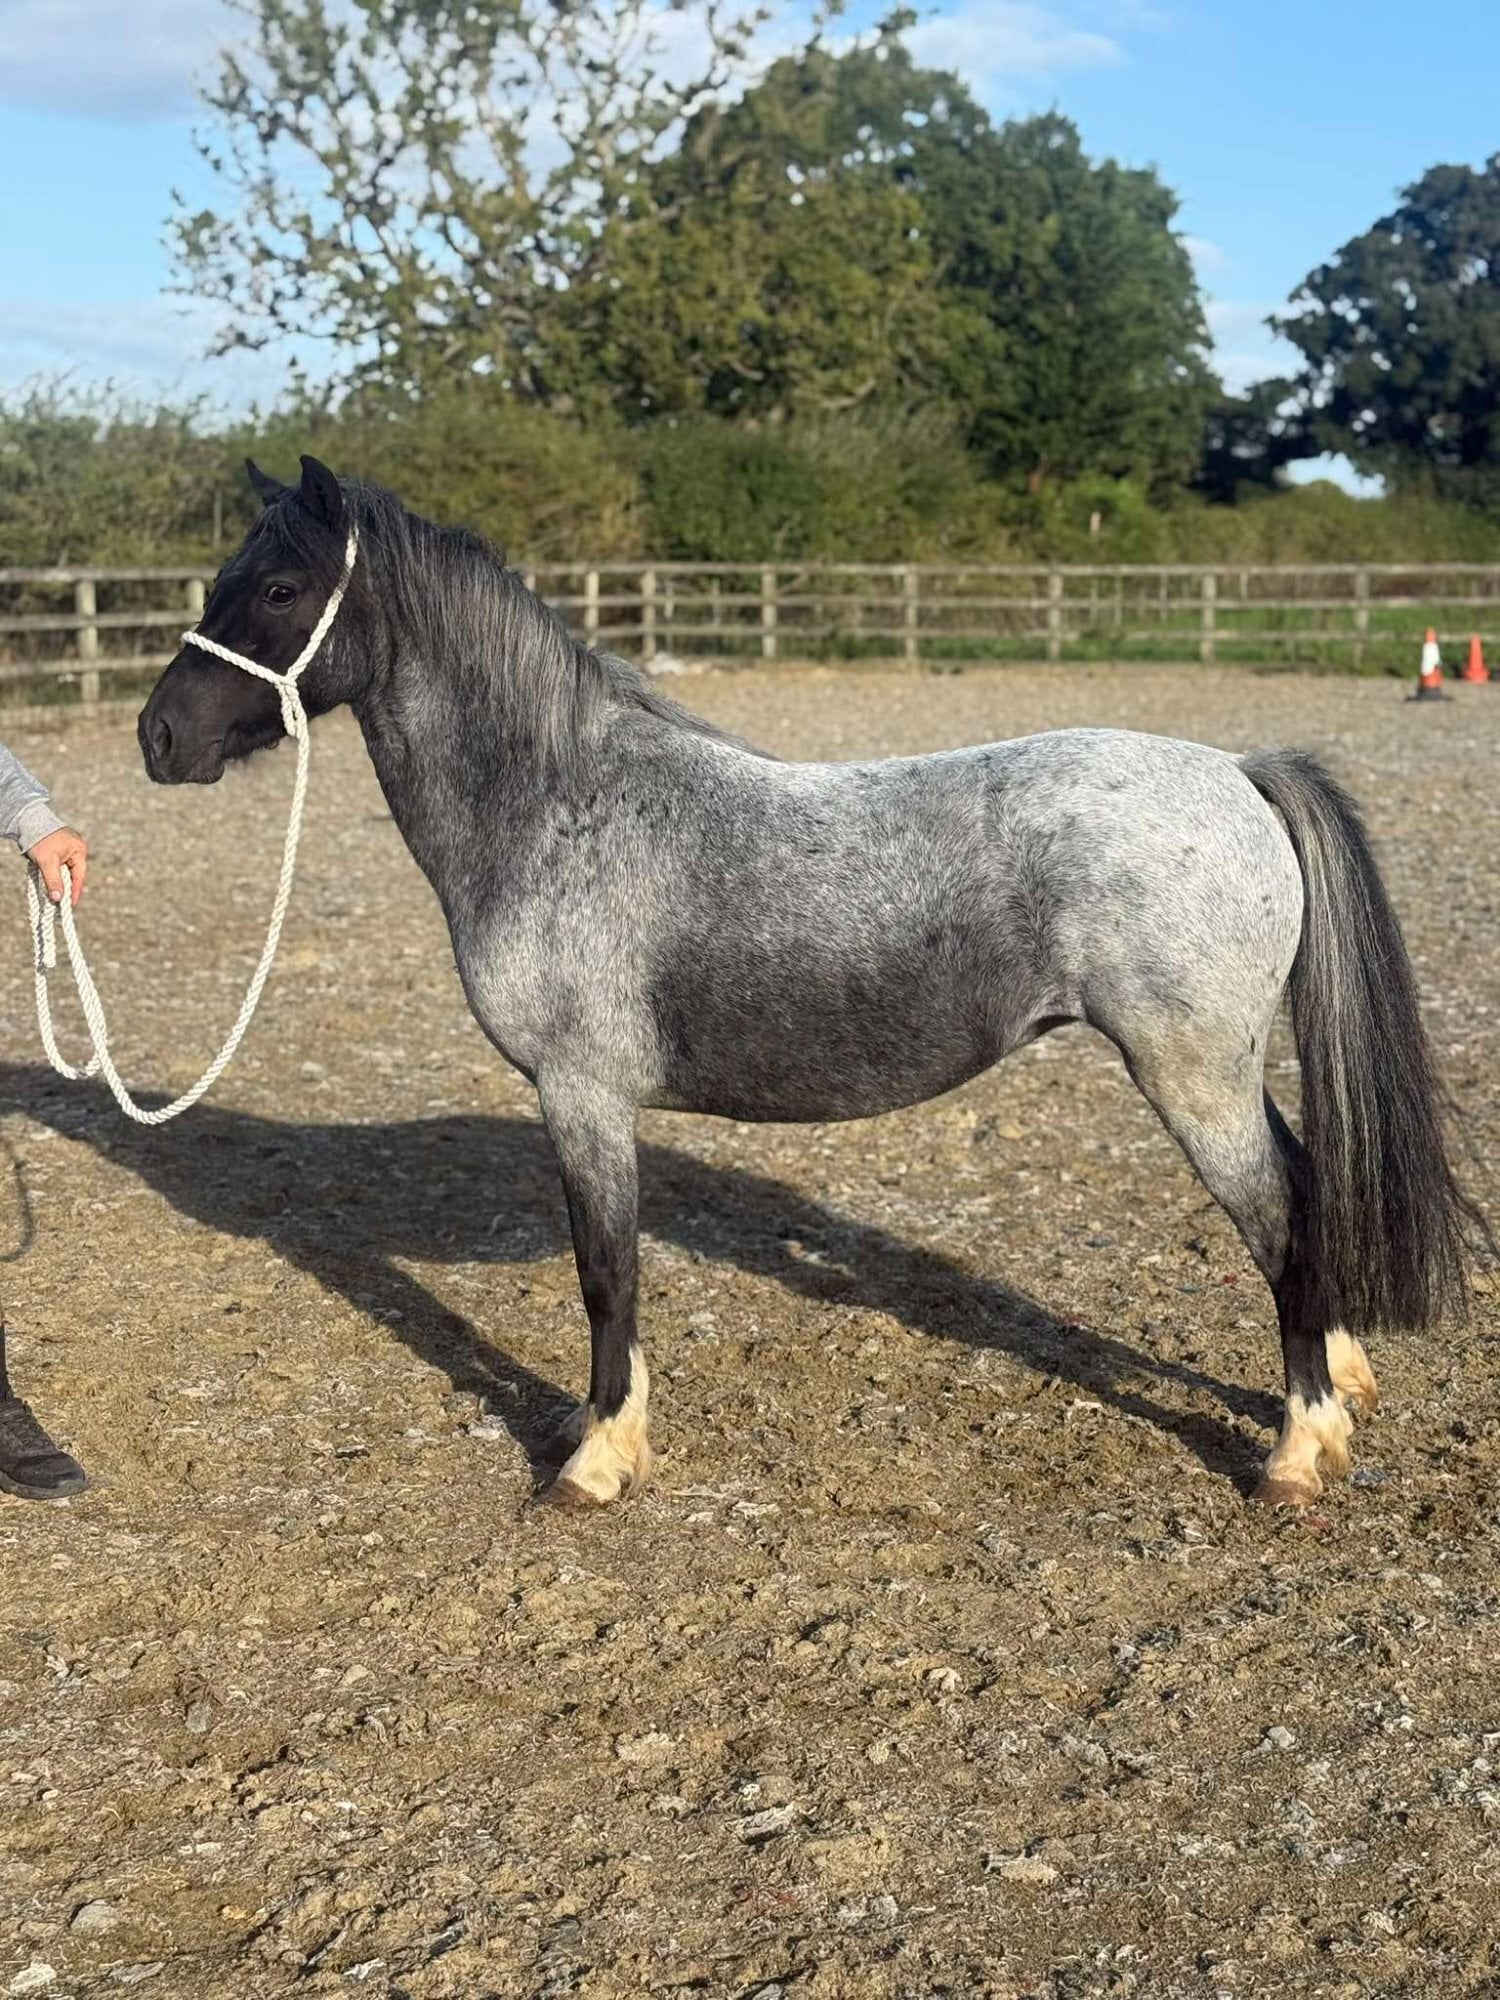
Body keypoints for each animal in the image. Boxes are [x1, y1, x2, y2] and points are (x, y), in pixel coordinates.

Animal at [137, 455, 1475, 1513]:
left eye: (278, 587)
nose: (158, 738)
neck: (559, 801)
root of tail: (1239, 772)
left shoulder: (580, 1095)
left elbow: (605, 1275)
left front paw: (596, 1460)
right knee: (1306, 1192)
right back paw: (1342, 1382)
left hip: (1192, 1075)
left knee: (1284, 1215)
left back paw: (1301, 1448)